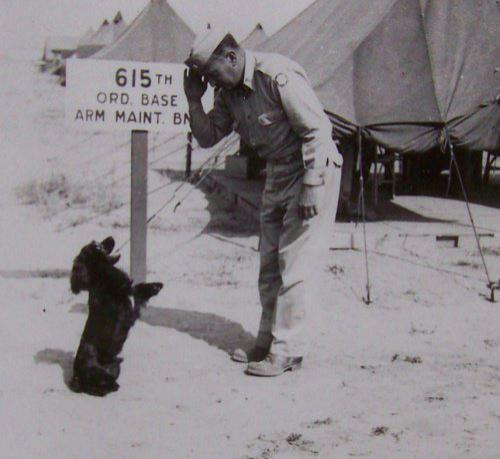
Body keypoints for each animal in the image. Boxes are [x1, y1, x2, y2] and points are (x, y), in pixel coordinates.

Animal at [69, 236, 163, 396]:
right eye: (97, 246)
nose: (111, 238)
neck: (104, 279)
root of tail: (76, 376)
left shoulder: (132, 295)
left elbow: (138, 289)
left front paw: (156, 286)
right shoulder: (126, 313)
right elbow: (134, 297)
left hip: (114, 368)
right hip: (100, 374)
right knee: (98, 387)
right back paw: (111, 387)